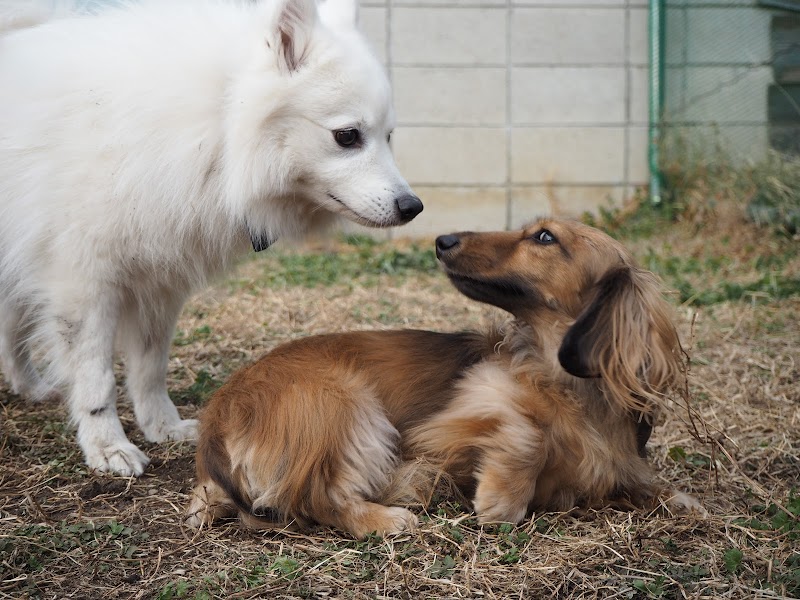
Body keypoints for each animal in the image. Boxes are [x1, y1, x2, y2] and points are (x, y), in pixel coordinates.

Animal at [0, 2, 424, 476]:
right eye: (347, 136)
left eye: (388, 136)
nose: (412, 207)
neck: (214, 123)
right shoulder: (83, 286)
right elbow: (97, 378)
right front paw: (107, 446)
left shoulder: (158, 284)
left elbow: (150, 367)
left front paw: (162, 426)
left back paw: (30, 387)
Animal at [184, 218, 704, 536]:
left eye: (544, 238)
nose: (443, 240)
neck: (569, 386)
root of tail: (217, 417)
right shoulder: (456, 416)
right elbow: (526, 433)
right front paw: (501, 497)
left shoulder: (618, 463)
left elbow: (651, 484)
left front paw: (682, 500)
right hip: (346, 406)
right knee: (319, 497)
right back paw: (385, 516)